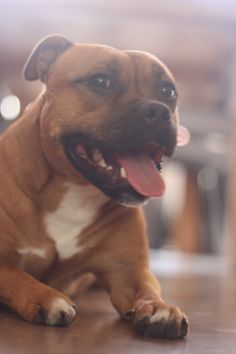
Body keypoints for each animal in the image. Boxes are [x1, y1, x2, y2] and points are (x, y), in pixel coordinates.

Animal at [0, 35, 189, 338]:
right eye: (100, 81)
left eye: (167, 90)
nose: (159, 111)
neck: (75, 189)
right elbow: (12, 273)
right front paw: (46, 296)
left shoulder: (128, 272)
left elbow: (147, 288)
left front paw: (160, 307)